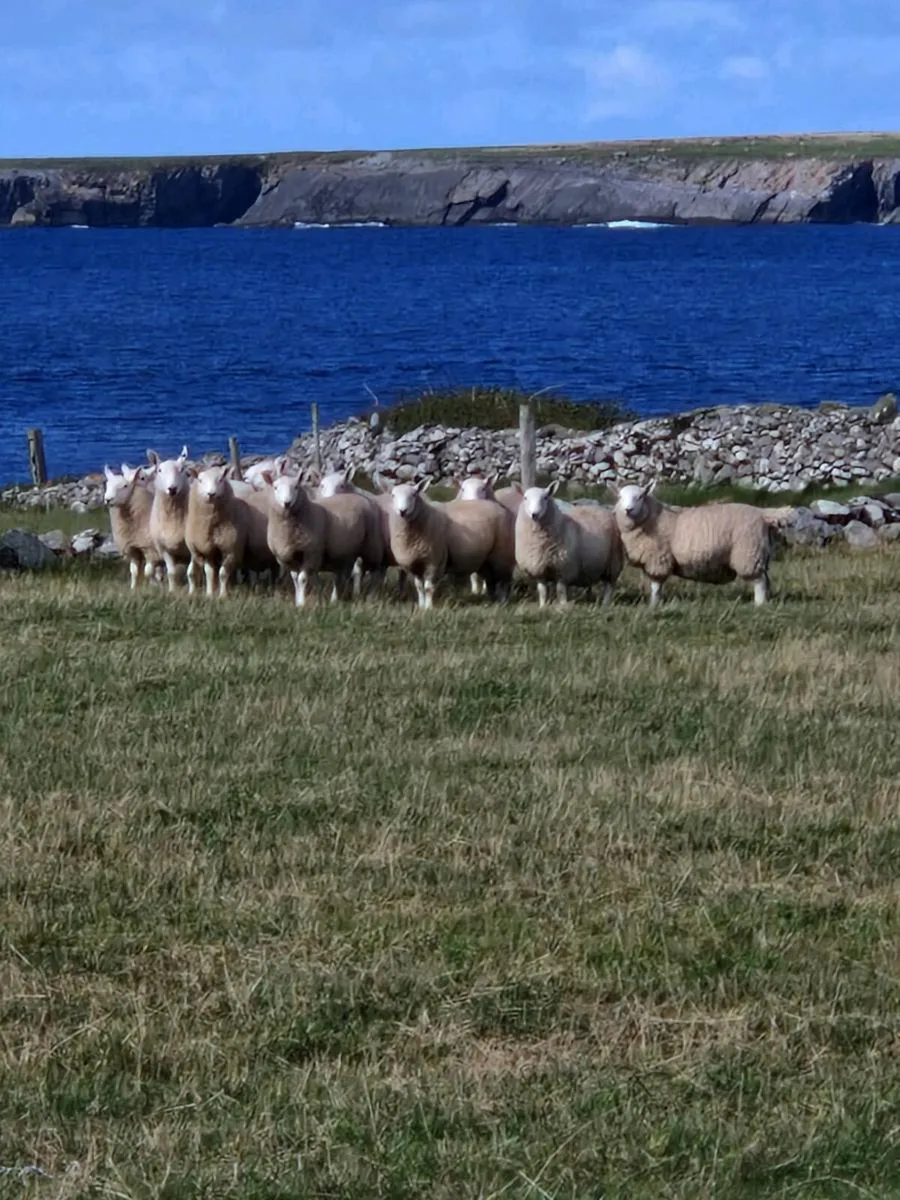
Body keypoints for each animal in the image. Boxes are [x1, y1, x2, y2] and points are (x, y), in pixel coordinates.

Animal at [147, 445, 194, 592]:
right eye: (159, 470)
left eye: (182, 469)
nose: (172, 489)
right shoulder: (164, 549)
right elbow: (172, 573)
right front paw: (172, 591)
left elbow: (191, 572)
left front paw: (193, 591)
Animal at [184, 464, 251, 598]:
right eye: (200, 480)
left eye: (220, 480)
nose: (211, 494)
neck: (212, 526)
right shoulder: (207, 550)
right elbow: (209, 573)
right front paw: (210, 594)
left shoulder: (230, 550)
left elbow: (223, 574)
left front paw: (223, 595)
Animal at [263, 467, 384, 607]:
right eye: (275, 488)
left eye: (296, 487)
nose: (286, 503)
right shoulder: (290, 557)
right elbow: (295, 580)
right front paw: (298, 601)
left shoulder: (311, 554)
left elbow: (302, 579)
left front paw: (302, 604)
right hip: (345, 552)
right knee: (342, 575)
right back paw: (336, 599)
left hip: (372, 547)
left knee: (374, 571)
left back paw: (370, 596)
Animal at [611, 480, 772, 607]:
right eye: (620, 497)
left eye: (640, 497)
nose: (628, 510)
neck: (653, 517)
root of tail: (762, 514)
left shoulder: (658, 558)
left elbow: (656, 586)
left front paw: (653, 605)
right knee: (766, 580)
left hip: (748, 553)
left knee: (760, 582)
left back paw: (759, 604)